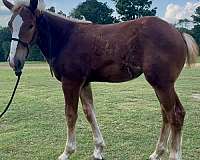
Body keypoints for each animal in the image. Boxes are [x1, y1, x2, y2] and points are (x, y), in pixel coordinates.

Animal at [3, 0, 198, 160]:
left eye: (30, 25)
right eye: (10, 25)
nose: (14, 62)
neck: (65, 38)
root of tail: (178, 33)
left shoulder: (71, 82)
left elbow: (71, 114)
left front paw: (67, 152)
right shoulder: (84, 83)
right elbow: (89, 112)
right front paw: (98, 149)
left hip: (162, 84)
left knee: (173, 115)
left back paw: (173, 154)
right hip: (164, 85)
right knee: (172, 113)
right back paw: (157, 153)